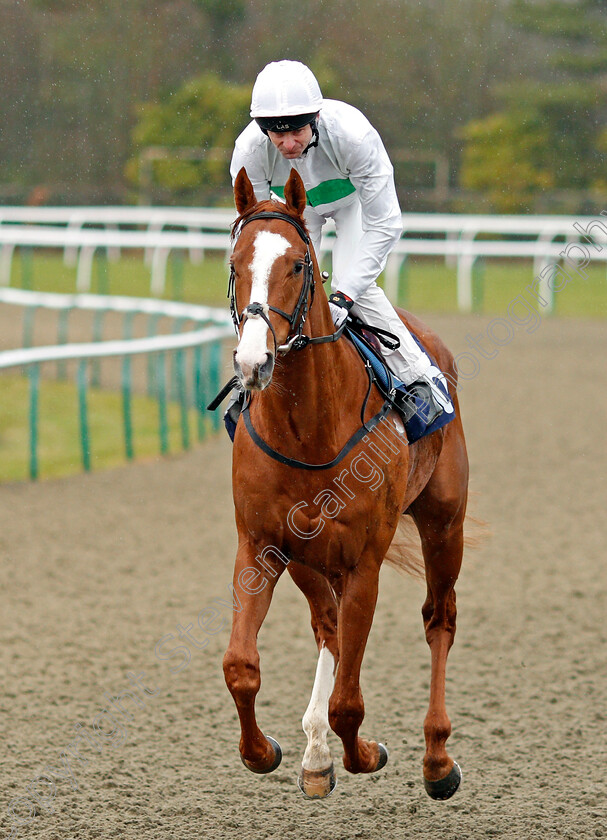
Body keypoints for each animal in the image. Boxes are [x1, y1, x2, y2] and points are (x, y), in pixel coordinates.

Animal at [223, 169, 470, 800]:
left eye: (297, 264)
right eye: (235, 262)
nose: (254, 361)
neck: (309, 427)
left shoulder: (365, 560)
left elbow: (348, 704)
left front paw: (366, 753)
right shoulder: (261, 546)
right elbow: (240, 667)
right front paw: (264, 752)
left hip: (444, 522)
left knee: (439, 618)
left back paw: (437, 759)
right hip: (310, 559)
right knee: (327, 627)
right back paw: (314, 755)